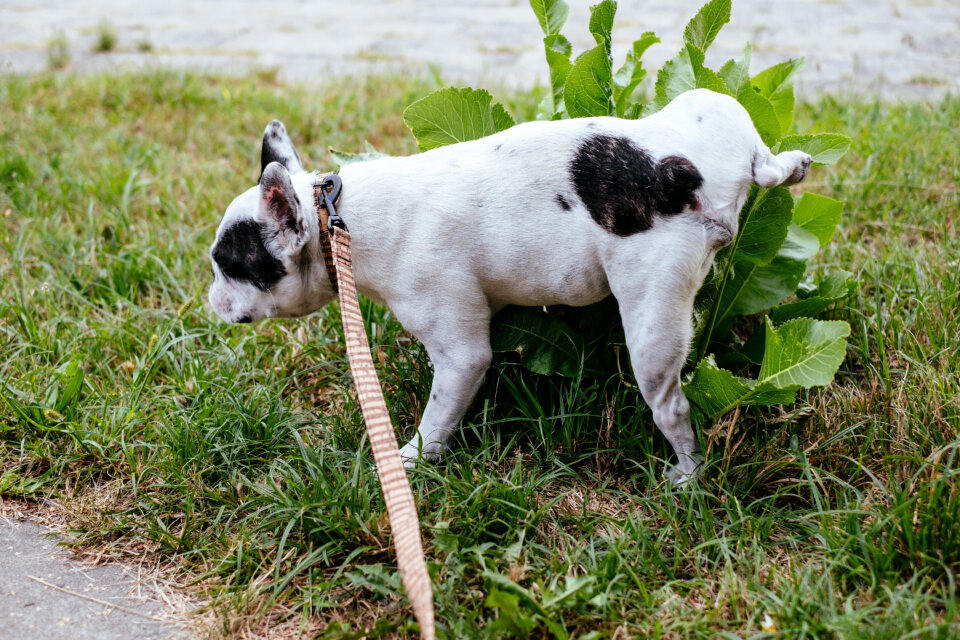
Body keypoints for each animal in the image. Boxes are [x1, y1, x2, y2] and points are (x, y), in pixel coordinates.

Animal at [210, 87, 808, 482]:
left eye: (227, 265)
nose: (211, 297)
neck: (337, 219)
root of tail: (686, 169)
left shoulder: (460, 353)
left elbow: (438, 416)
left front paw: (411, 461)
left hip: (652, 319)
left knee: (671, 407)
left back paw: (687, 475)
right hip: (712, 105)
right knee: (768, 163)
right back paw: (793, 164)